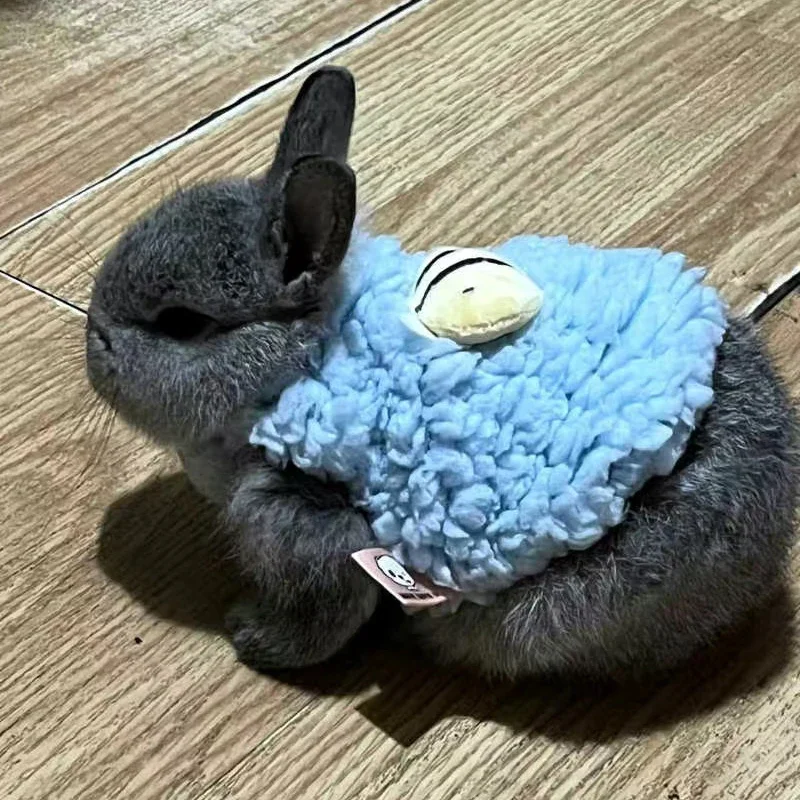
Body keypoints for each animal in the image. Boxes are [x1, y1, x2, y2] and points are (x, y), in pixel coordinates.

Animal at [86, 66, 798, 680]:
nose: (93, 340)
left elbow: (322, 609)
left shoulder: (313, 516)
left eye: (182, 323)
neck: (295, 364)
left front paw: (251, 638)